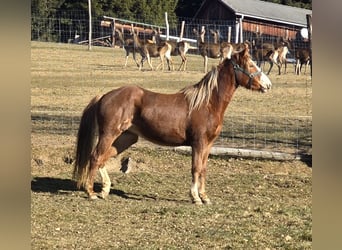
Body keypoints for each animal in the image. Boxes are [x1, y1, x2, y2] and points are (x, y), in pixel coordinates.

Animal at [73, 43, 272, 205]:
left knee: (103, 158)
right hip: (108, 134)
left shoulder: (208, 145)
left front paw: (205, 196)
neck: (207, 103)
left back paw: (104, 190)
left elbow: (203, 169)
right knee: (95, 157)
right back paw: (91, 192)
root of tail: (104, 96)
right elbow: (195, 168)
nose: (268, 85)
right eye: (251, 65)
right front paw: (195, 197)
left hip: (126, 138)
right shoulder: (198, 143)